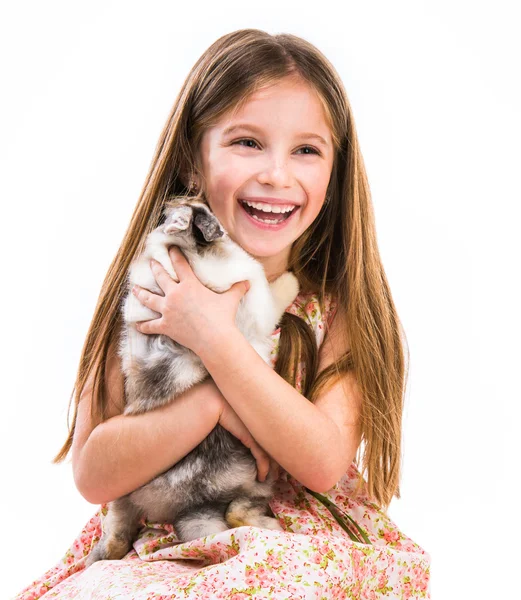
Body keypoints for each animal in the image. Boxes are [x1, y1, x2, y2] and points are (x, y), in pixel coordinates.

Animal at [86, 198, 300, 568]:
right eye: (204, 216)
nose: (221, 230)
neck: (182, 259)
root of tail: (192, 498)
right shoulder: (259, 307)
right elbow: (276, 296)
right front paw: (292, 280)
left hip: (122, 495)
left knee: (118, 532)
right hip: (259, 479)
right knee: (238, 514)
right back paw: (273, 526)